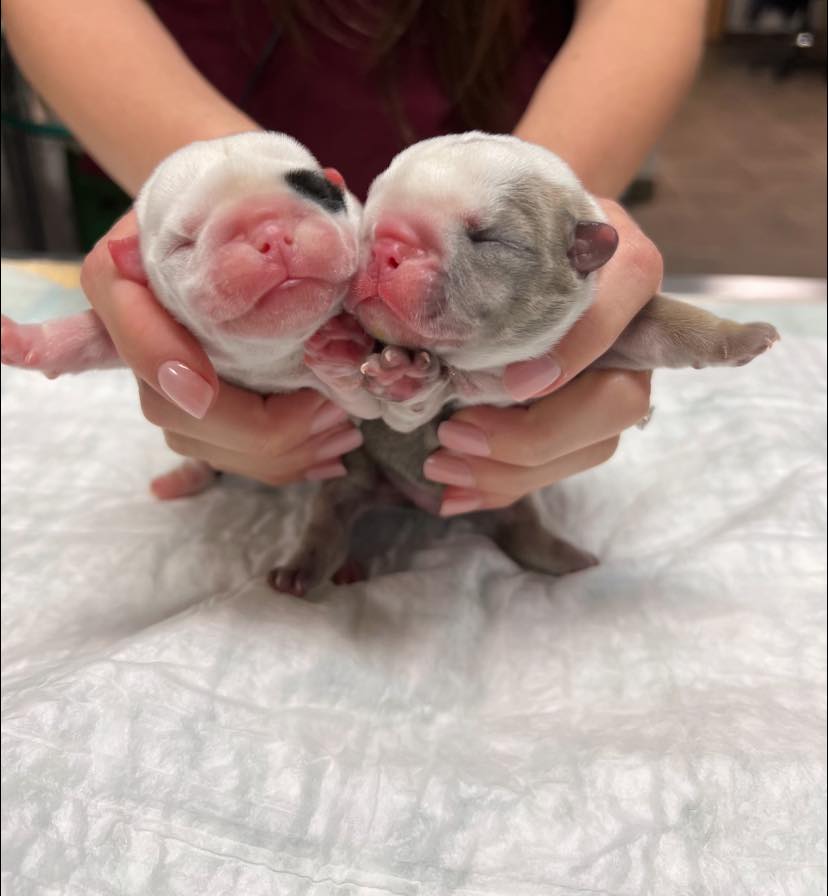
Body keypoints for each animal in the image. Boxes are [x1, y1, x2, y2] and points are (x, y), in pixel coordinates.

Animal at [1, 131, 376, 496]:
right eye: (183, 243)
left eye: (320, 193)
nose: (269, 231)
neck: (270, 358)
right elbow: (90, 338)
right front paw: (23, 339)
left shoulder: (346, 415)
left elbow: (365, 401)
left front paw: (340, 352)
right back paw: (182, 479)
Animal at [284, 133, 776, 596]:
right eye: (369, 218)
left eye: (488, 238)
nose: (386, 244)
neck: (489, 363)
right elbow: (406, 407)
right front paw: (401, 375)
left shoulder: (597, 336)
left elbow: (663, 324)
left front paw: (742, 336)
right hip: (357, 472)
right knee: (331, 510)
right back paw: (311, 570)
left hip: (507, 499)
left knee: (519, 531)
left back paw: (568, 561)